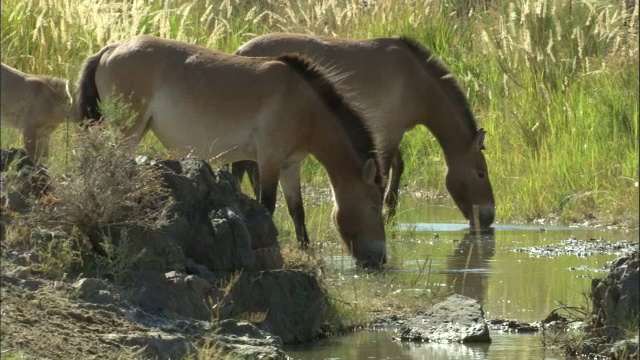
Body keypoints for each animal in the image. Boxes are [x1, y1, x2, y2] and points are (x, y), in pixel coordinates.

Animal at [73, 35, 388, 268]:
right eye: (375, 207)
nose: (381, 259)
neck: (304, 104)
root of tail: (110, 48)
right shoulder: (269, 159)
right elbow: (267, 205)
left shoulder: (290, 165)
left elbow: (297, 211)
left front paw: (306, 251)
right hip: (127, 131)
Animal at [232, 33, 498, 229]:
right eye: (481, 173)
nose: (488, 217)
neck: (415, 80)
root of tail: (241, 51)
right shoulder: (390, 132)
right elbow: (388, 171)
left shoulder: (384, 133)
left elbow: (397, 168)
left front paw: (390, 215)